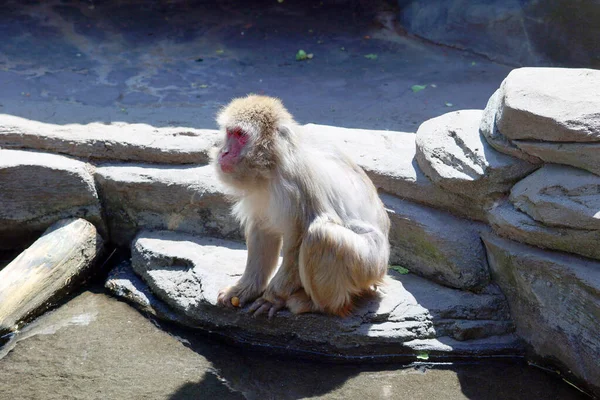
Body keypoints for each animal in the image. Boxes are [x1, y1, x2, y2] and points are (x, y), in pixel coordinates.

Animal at [213, 95, 392, 318]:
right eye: (229, 132)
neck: (273, 165)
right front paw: (244, 290)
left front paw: (273, 298)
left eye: (240, 135)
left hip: (368, 265)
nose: (224, 152)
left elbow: (299, 241)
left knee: (321, 236)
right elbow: (263, 231)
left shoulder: (299, 184)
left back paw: (320, 305)